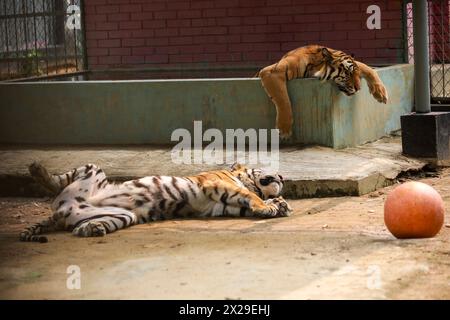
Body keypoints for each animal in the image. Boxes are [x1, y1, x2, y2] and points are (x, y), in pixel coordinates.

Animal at [21, 162, 292, 242]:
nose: (282, 176)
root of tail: (60, 213)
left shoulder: (221, 205)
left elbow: (245, 202)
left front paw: (280, 205)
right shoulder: (218, 185)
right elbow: (251, 196)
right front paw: (271, 205)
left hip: (122, 215)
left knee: (86, 224)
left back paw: (90, 229)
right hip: (91, 170)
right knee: (57, 181)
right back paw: (37, 171)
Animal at [256, 44, 390, 139]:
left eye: (356, 73)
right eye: (348, 72)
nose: (358, 88)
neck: (315, 65)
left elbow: (368, 68)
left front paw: (381, 93)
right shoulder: (272, 72)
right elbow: (283, 99)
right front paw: (284, 129)